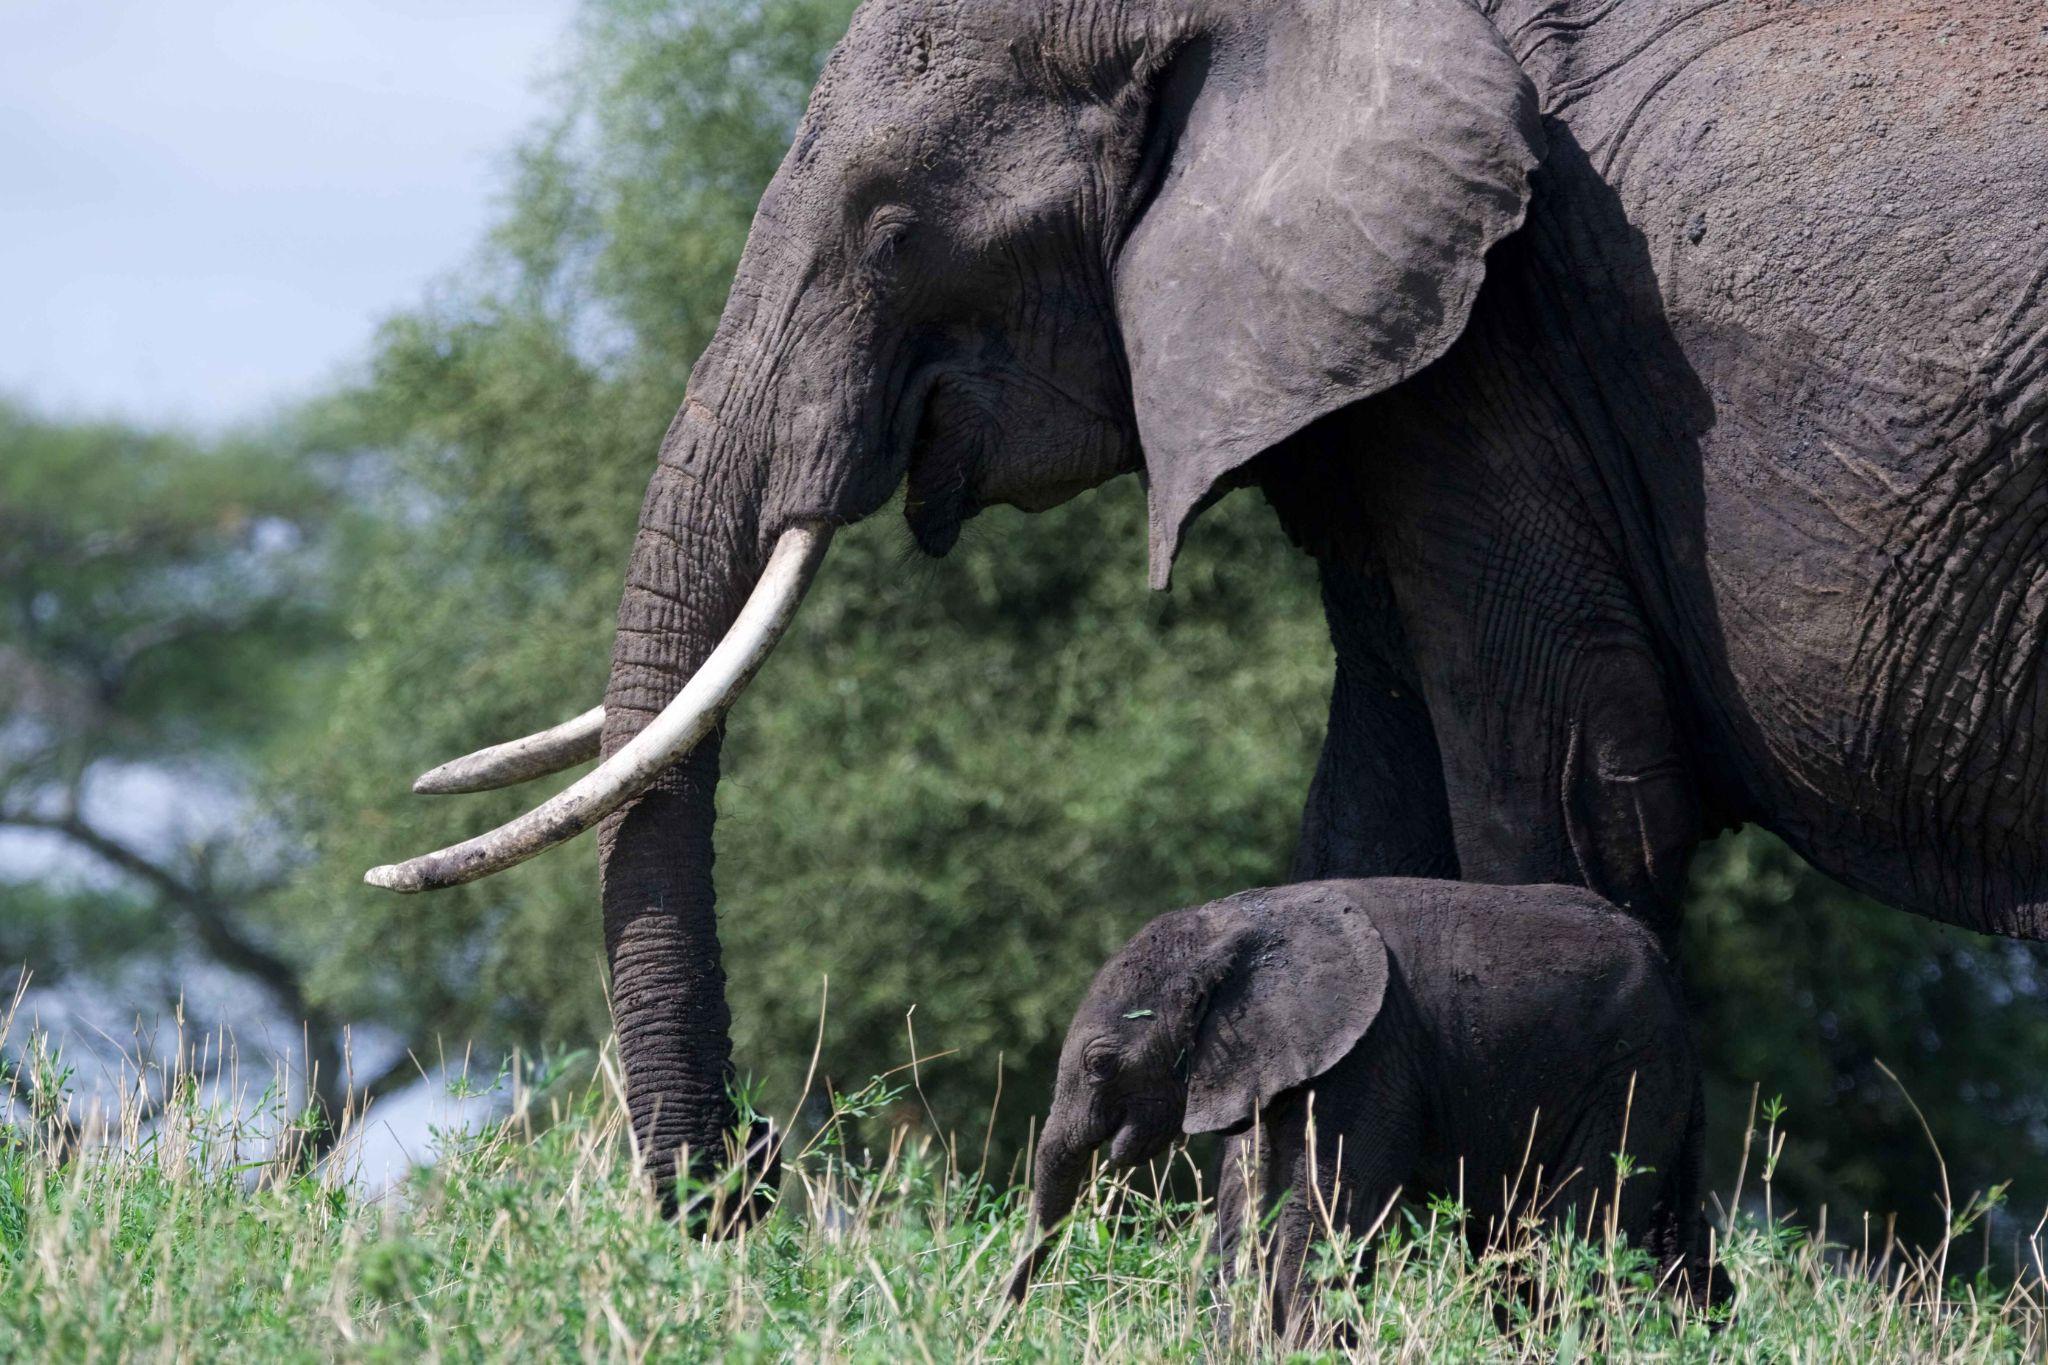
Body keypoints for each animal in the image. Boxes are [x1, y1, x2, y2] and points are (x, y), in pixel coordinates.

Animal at [1003, 880, 1713, 1329]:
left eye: (1101, 1064)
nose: (1005, 1318)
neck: (1235, 924)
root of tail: (1671, 975)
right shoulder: (1272, 1059)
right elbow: (1246, 1208)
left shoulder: (1368, 1054)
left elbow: (1321, 1211)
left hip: (1631, 1072)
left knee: (1574, 1236)